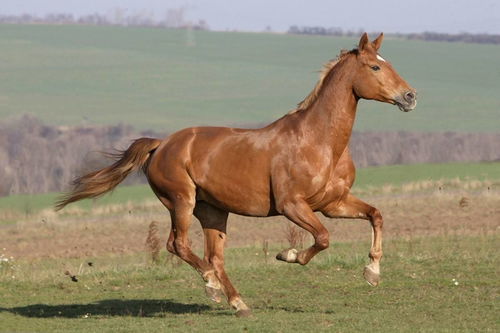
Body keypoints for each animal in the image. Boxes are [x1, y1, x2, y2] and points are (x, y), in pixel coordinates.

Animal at [56, 33, 416, 316]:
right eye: (375, 67)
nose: (411, 96)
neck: (319, 142)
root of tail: (161, 144)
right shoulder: (292, 205)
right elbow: (323, 238)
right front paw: (287, 255)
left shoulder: (334, 203)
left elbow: (376, 215)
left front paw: (372, 272)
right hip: (181, 202)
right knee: (179, 245)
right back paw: (213, 287)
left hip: (213, 211)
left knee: (214, 257)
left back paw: (236, 302)